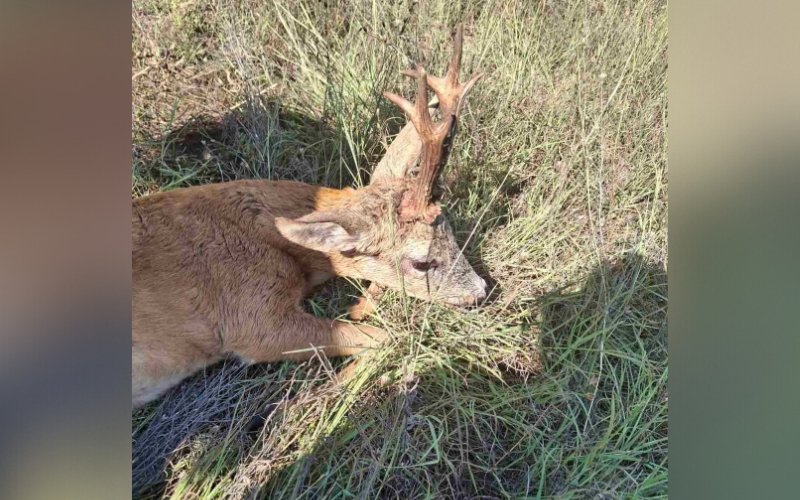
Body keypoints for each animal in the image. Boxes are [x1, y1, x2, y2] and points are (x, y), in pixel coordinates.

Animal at [132, 25, 484, 408]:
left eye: (452, 231)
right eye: (421, 262)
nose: (481, 291)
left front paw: (361, 306)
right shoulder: (251, 320)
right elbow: (381, 338)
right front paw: (335, 389)